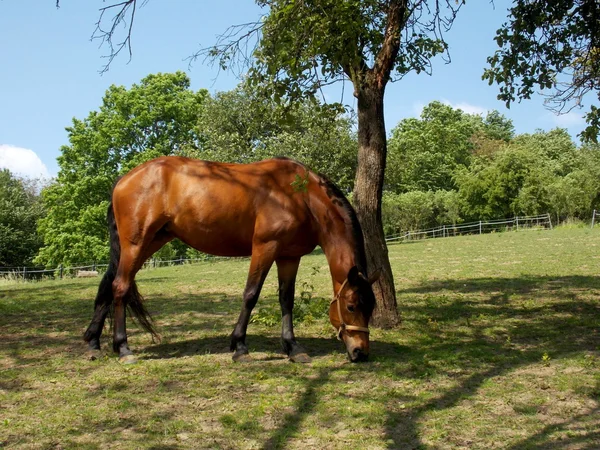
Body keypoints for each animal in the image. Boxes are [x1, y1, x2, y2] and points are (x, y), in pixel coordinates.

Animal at [83, 156, 380, 364]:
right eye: (351, 306)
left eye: (371, 308)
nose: (361, 352)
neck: (299, 195)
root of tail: (124, 179)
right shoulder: (264, 247)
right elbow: (251, 294)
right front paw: (239, 347)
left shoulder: (289, 256)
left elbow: (286, 299)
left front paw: (293, 348)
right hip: (136, 244)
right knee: (120, 287)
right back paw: (123, 348)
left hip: (149, 243)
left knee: (110, 284)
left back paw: (94, 344)